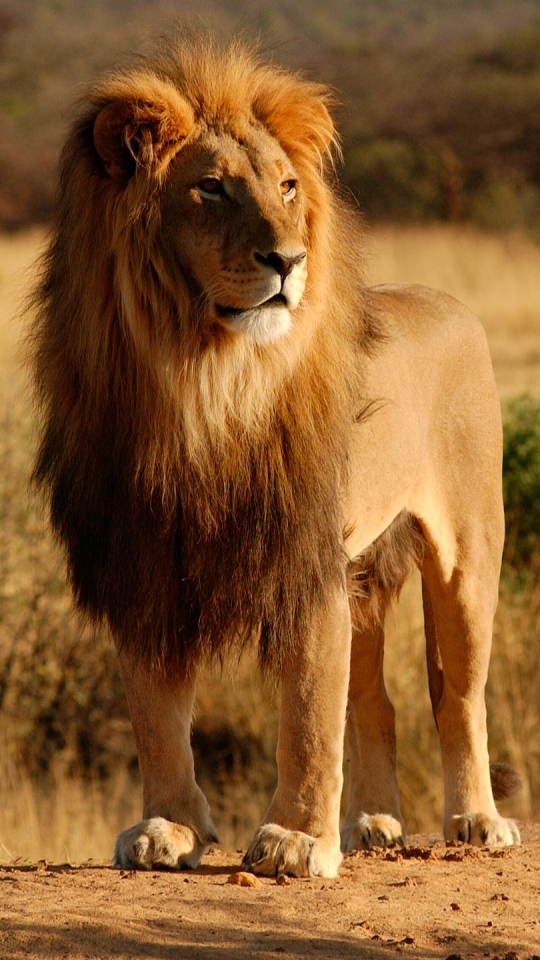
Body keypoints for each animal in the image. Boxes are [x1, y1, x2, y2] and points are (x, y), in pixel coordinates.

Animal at [29, 35, 520, 876]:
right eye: (212, 188)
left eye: (288, 187)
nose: (288, 260)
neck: (201, 380)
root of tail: (448, 301)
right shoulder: (143, 559)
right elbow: (157, 714)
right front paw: (168, 827)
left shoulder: (304, 557)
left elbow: (309, 712)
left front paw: (295, 839)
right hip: (367, 572)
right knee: (377, 701)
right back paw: (374, 823)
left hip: (467, 553)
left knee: (457, 696)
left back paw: (477, 820)